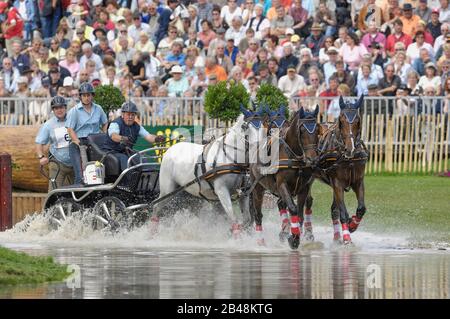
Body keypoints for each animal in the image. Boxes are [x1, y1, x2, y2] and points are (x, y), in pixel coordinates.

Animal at [154, 107, 268, 238]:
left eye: (263, 126)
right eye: (245, 127)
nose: (261, 147)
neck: (230, 158)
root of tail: (170, 149)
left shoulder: (243, 193)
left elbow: (247, 220)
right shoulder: (222, 191)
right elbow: (233, 218)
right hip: (167, 190)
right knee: (156, 207)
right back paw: (152, 233)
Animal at [251, 106, 322, 251]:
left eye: (318, 130)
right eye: (302, 130)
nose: (312, 159)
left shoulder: (304, 188)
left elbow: (299, 214)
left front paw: (295, 234)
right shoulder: (282, 184)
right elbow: (293, 208)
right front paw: (294, 238)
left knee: (281, 203)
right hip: (258, 187)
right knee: (258, 214)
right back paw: (261, 241)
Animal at [310, 95, 370, 245]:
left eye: (358, 121)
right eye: (341, 121)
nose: (350, 148)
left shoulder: (358, 182)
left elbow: (361, 208)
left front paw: (352, 224)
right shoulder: (337, 183)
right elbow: (343, 212)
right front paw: (347, 236)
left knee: (333, 210)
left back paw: (337, 236)